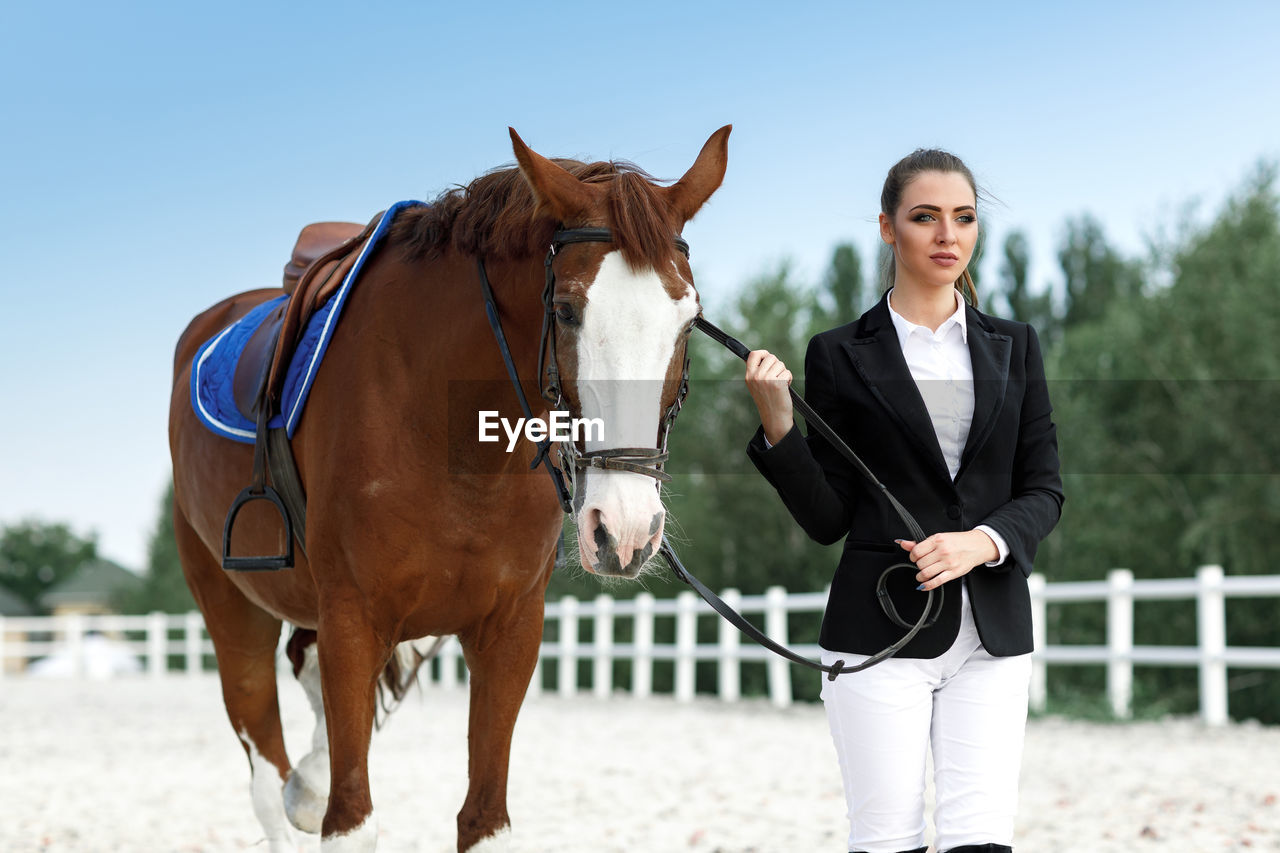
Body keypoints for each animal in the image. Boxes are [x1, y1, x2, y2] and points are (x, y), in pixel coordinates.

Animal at [167, 122, 732, 845]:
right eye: (566, 310)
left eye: (688, 319)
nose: (625, 530)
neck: (455, 439)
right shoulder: (353, 620)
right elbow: (349, 817)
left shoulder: (509, 629)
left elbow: (483, 817)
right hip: (230, 609)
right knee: (266, 771)